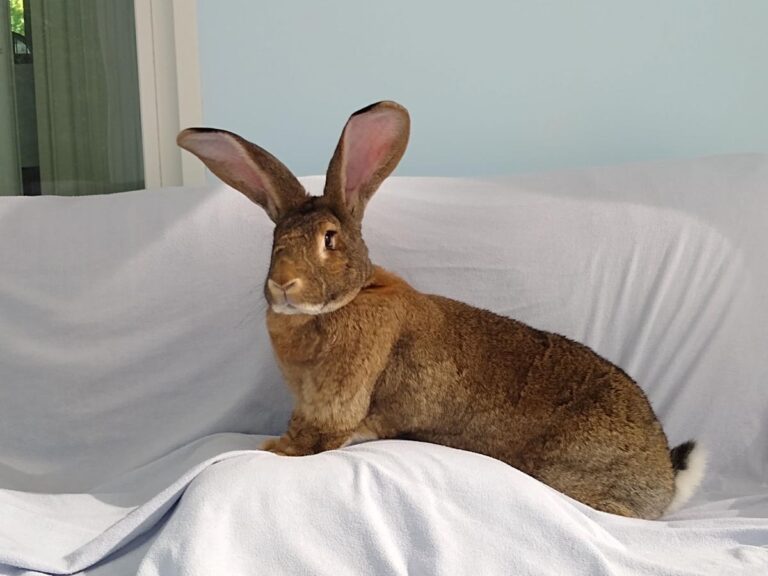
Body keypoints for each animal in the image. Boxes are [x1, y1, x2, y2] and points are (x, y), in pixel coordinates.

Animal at [177, 101, 706, 519]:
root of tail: (665, 478)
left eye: (329, 239)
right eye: (274, 242)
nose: (283, 284)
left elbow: (321, 433)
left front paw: (277, 450)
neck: (346, 299)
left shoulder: (338, 394)